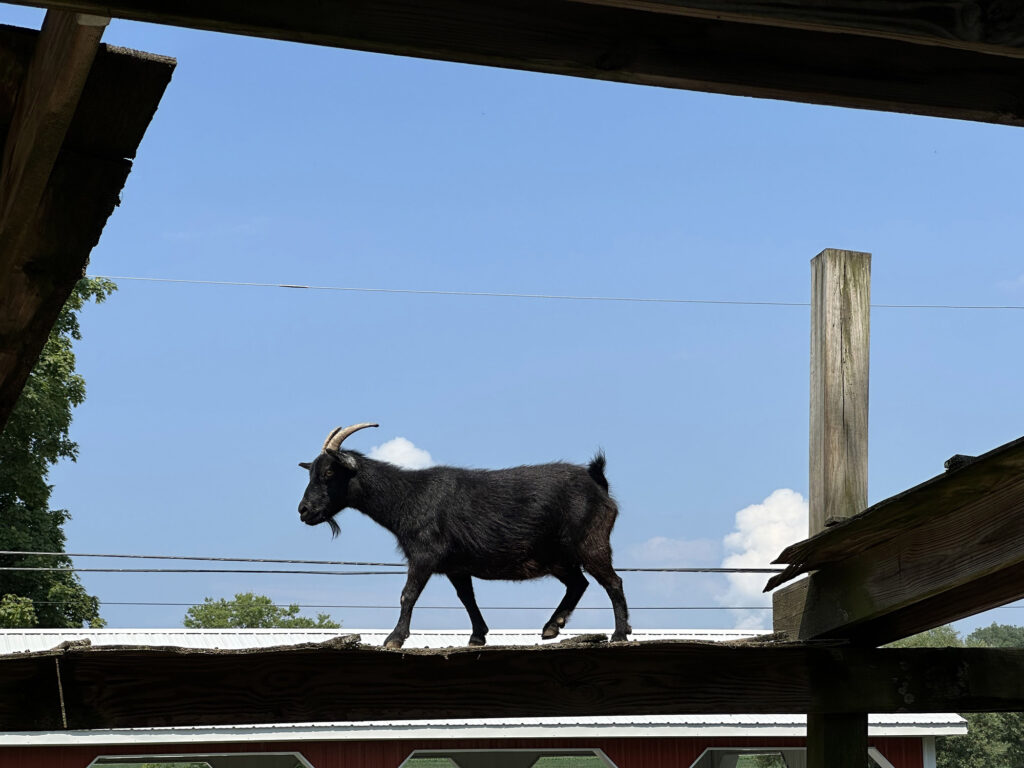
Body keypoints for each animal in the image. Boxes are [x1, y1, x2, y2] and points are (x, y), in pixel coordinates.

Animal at [299, 423, 630, 647]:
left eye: (329, 473)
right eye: (311, 472)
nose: (303, 510)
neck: (407, 497)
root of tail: (597, 483)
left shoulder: (424, 554)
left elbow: (408, 593)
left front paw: (394, 638)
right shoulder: (456, 566)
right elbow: (467, 597)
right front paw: (478, 636)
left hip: (591, 542)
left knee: (612, 582)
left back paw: (619, 633)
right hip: (559, 557)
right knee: (579, 583)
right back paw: (552, 625)